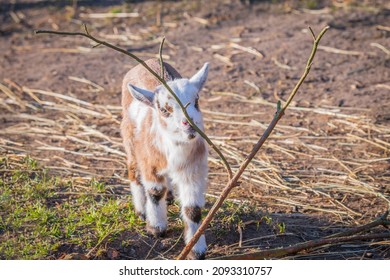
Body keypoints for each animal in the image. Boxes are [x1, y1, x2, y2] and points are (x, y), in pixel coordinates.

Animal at [120, 59, 209, 260]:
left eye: (197, 100)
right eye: (163, 110)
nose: (188, 123)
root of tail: (147, 62)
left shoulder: (193, 171)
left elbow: (193, 209)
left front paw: (196, 250)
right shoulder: (149, 164)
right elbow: (155, 192)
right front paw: (156, 228)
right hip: (130, 142)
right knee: (134, 173)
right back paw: (141, 210)